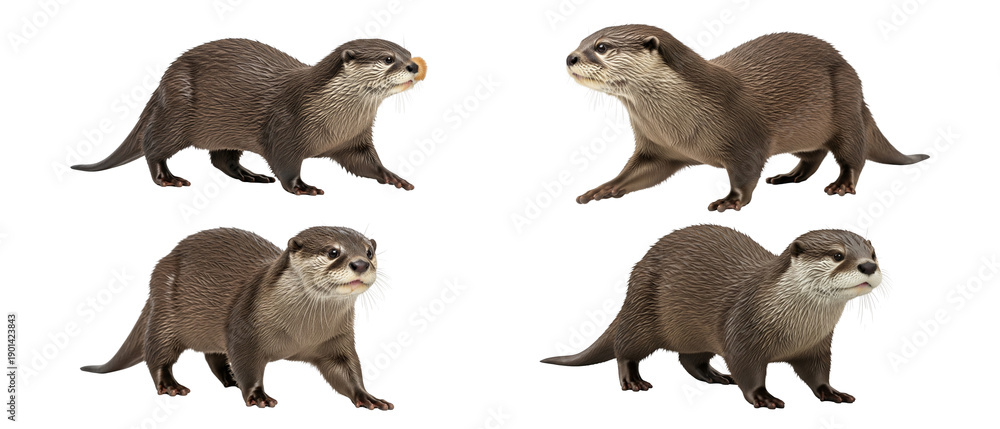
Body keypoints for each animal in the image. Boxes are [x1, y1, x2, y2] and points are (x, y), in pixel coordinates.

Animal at [72, 38, 425, 196]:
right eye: (388, 58)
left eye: (408, 53)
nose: (414, 66)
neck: (335, 120)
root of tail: (164, 80)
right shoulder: (284, 128)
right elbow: (285, 164)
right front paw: (303, 187)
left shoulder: (355, 140)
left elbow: (366, 163)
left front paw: (394, 177)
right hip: (177, 112)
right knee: (153, 145)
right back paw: (169, 178)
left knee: (221, 159)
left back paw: (250, 175)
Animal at [81, 227, 393, 410]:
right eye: (332, 251)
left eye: (369, 251)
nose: (360, 263)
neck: (300, 333)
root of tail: (164, 263)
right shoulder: (244, 329)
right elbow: (248, 365)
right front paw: (258, 396)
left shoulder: (337, 340)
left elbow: (347, 370)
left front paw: (368, 397)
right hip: (165, 312)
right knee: (156, 353)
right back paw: (171, 385)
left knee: (213, 355)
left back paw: (228, 378)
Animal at [542, 225, 882, 409]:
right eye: (837, 255)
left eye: (873, 253)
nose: (868, 266)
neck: (794, 328)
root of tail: (637, 270)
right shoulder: (741, 333)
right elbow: (748, 371)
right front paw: (764, 398)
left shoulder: (817, 346)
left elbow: (818, 373)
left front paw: (832, 392)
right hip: (643, 314)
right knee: (624, 348)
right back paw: (634, 380)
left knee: (690, 359)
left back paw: (716, 376)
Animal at [566, 25, 928, 211]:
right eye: (580, 41)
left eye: (601, 46)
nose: (570, 57)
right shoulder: (658, 147)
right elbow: (638, 172)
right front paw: (603, 188)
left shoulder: (747, 139)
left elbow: (746, 173)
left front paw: (730, 201)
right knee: (814, 155)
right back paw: (789, 176)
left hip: (847, 108)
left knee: (853, 155)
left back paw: (840, 185)